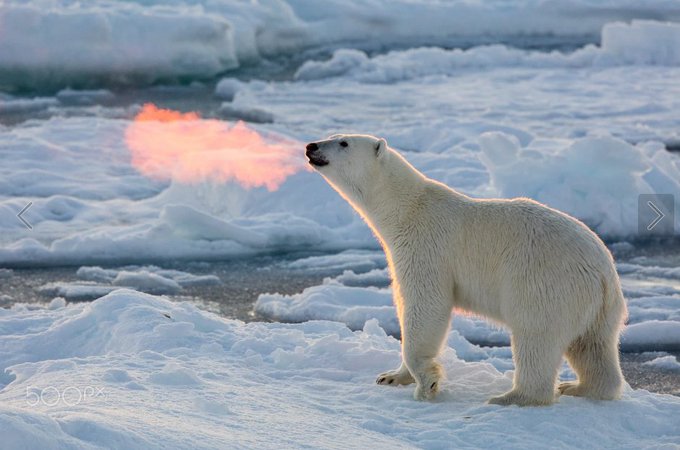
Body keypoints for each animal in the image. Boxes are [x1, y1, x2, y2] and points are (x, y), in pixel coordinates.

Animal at [306, 134, 624, 408]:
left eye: (343, 142)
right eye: (332, 135)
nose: (311, 146)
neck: (406, 209)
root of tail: (603, 272)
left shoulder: (426, 246)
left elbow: (426, 305)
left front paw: (427, 384)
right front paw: (391, 376)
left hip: (545, 282)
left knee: (536, 337)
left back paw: (512, 397)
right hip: (597, 308)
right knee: (592, 346)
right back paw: (579, 387)